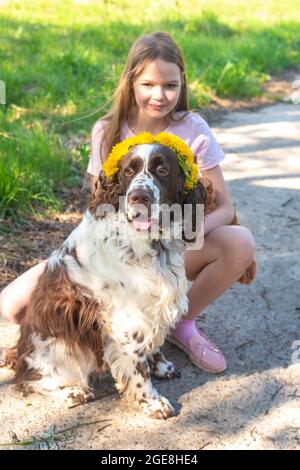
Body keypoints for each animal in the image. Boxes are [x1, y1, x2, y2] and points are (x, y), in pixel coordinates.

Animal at [12, 142, 207, 418]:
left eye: (162, 169)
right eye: (128, 171)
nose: (139, 197)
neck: (151, 247)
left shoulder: (152, 307)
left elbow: (154, 346)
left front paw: (162, 367)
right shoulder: (127, 321)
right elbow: (139, 369)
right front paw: (153, 402)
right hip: (57, 349)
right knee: (27, 381)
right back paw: (73, 393)